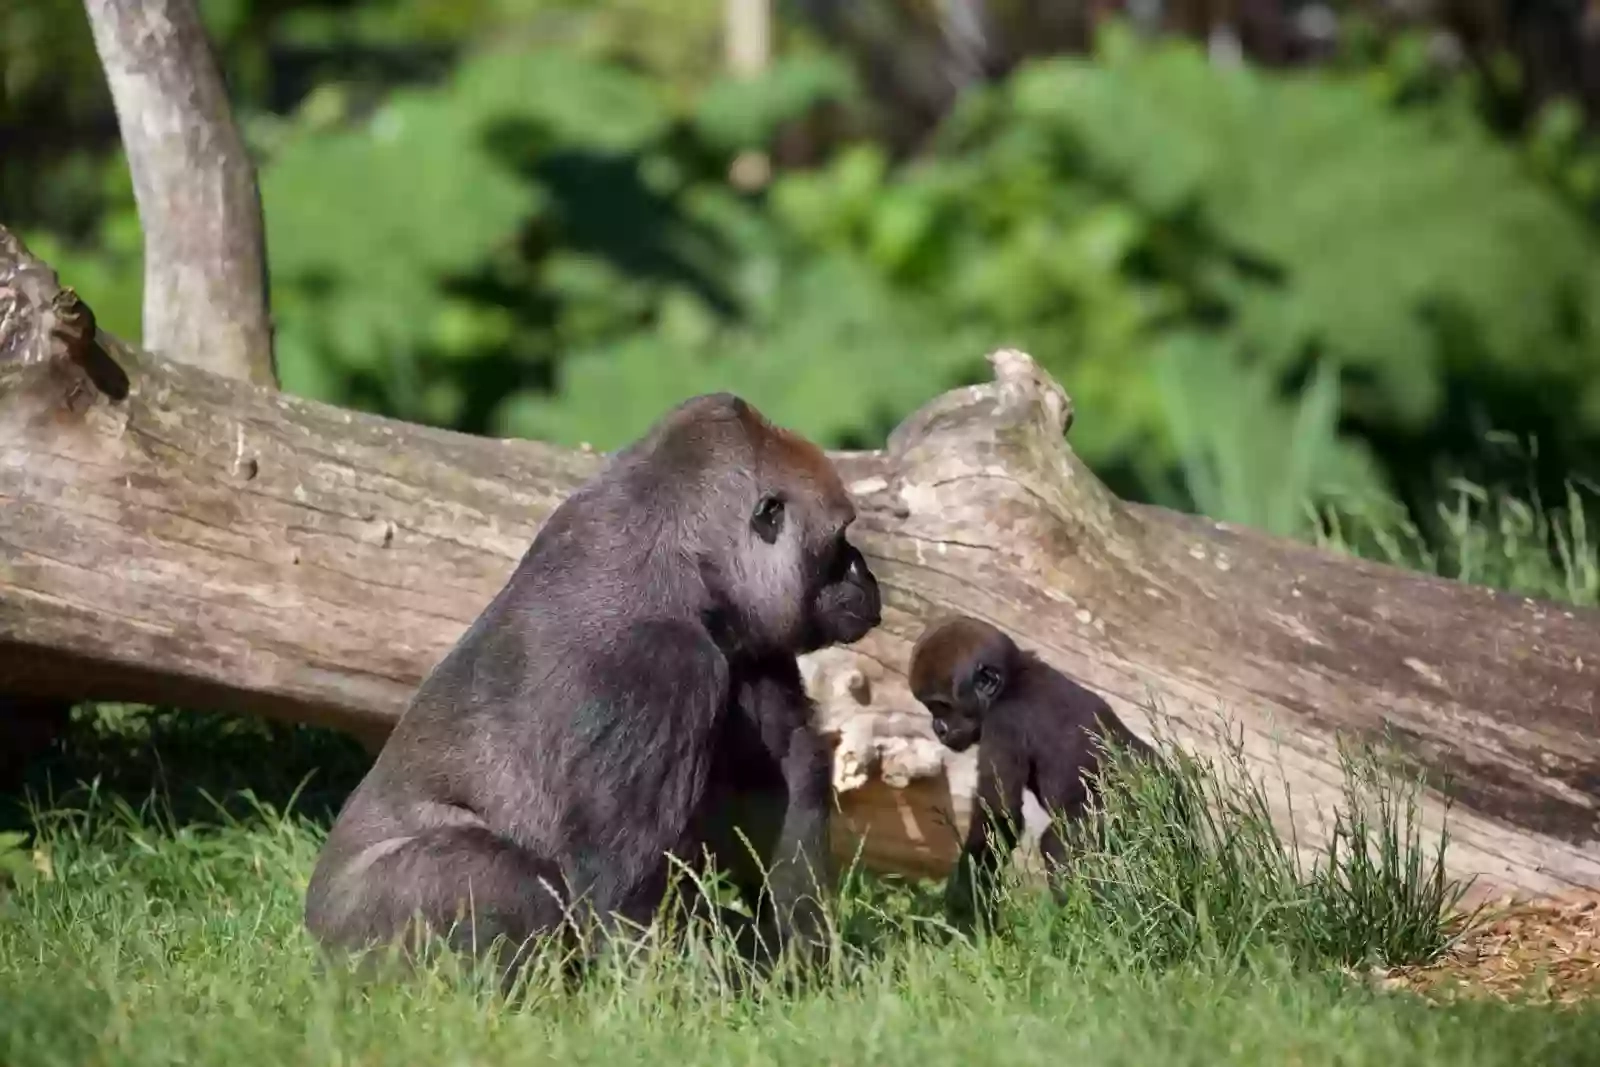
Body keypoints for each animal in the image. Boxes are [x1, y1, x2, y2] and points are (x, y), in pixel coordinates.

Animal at [915, 614, 1152, 927]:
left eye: (942, 706)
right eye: (931, 708)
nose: (937, 728)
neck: (1014, 678)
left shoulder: (1004, 723)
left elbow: (1000, 816)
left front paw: (964, 906)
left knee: (1057, 846)